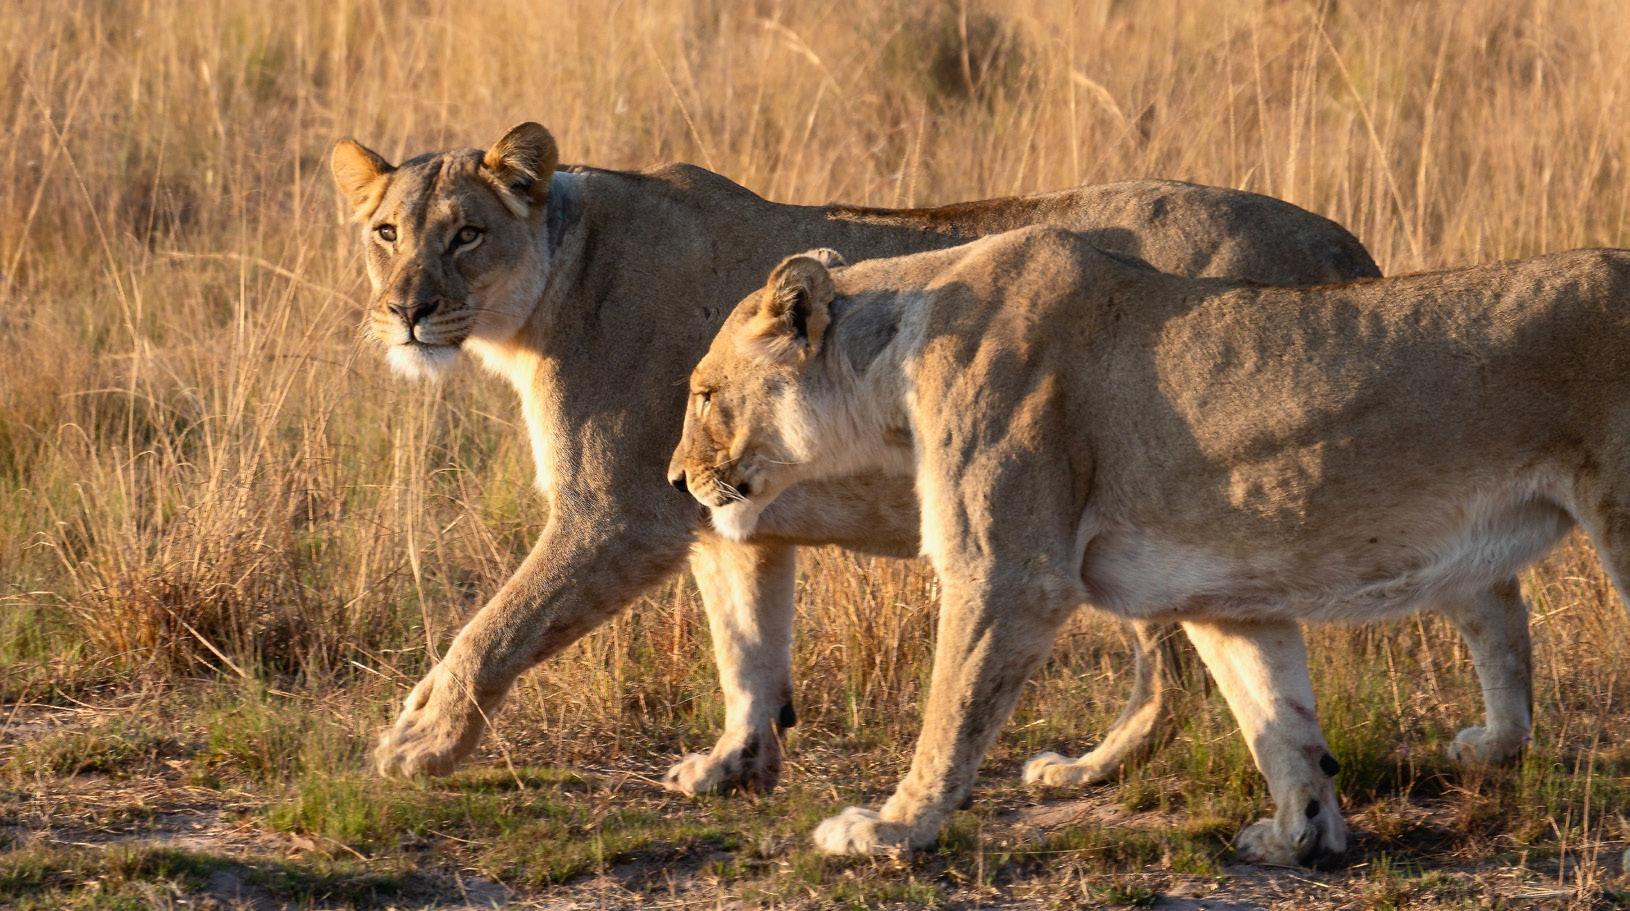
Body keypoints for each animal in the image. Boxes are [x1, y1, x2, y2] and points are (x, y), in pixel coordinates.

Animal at [329, 123, 1528, 805]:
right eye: (386, 233)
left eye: (465, 234)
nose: (405, 311)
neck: (552, 286)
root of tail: (1340, 247)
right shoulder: (716, 509)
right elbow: (746, 647)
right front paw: (733, 765)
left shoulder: (616, 510)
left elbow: (494, 629)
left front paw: (417, 743)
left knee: (1178, 673)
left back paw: (1087, 772)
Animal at [670, 232, 1630, 865]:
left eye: (706, 393)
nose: (677, 480)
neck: (891, 368)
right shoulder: (1227, 592)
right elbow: (1278, 718)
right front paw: (1301, 834)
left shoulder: (1008, 569)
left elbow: (951, 713)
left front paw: (889, 827)